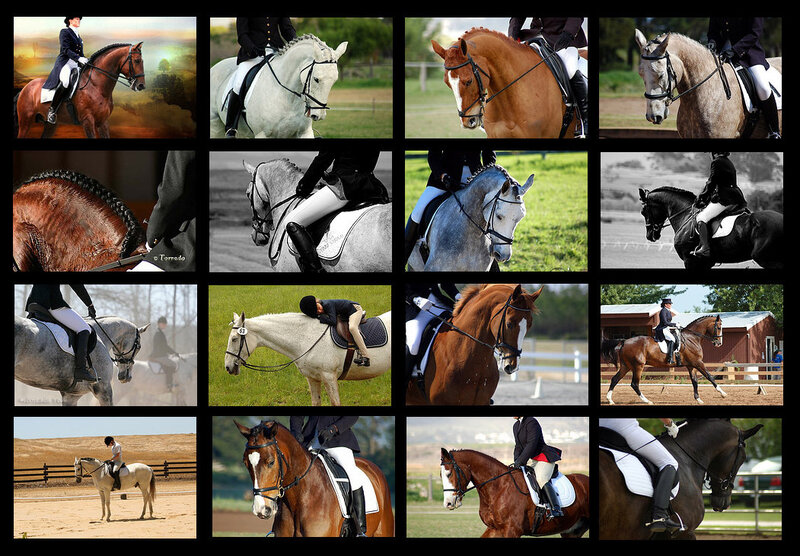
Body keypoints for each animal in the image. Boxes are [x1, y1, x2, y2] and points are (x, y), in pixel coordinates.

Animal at [15, 42, 145, 139]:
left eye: (142, 61)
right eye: (137, 61)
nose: (141, 86)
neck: (96, 86)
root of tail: (25, 88)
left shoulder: (103, 121)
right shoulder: (87, 120)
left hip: (50, 125)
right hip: (25, 122)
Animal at [210, 35, 347, 138]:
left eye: (334, 81)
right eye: (316, 79)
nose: (319, 115)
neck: (288, 97)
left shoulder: (304, 133)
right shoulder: (262, 134)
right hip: (215, 126)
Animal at [440, 448, 589, 538]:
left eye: (449, 473)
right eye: (441, 475)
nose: (448, 503)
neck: (498, 487)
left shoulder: (512, 530)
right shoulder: (494, 529)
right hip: (572, 531)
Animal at [639, 186, 783, 270]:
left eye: (643, 212)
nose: (650, 236)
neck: (686, 216)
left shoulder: (689, 260)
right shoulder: (706, 263)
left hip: (764, 258)